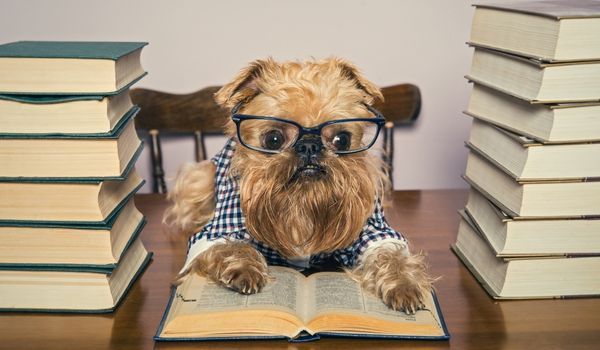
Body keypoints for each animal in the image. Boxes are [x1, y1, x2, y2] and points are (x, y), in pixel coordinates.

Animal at [166, 57, 434, 314]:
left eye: (342, 139)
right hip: (200, 178)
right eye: (273, 139)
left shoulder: (373, 229)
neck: (302, 200)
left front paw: (403, 283)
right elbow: (231, 246)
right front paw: (245, 268)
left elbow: (390, 254)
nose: (309, 145)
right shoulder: (213, 232)